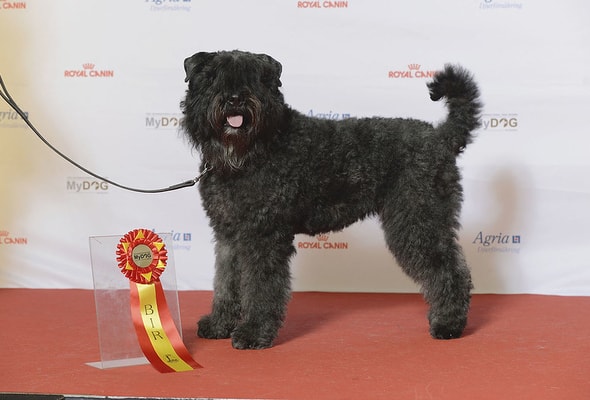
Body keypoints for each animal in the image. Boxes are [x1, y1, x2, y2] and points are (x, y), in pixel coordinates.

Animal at [183, 50, 484, 350]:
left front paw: (254, 332)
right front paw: (219, 323)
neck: (247, 154)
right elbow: (226, 280)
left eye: (255, 78)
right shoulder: (229, 234)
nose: (235, 99)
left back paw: (448, 324)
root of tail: (441, 137)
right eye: (212, 77)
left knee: (449, 270)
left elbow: (260, 285)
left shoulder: (263, 235)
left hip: (418, 220)